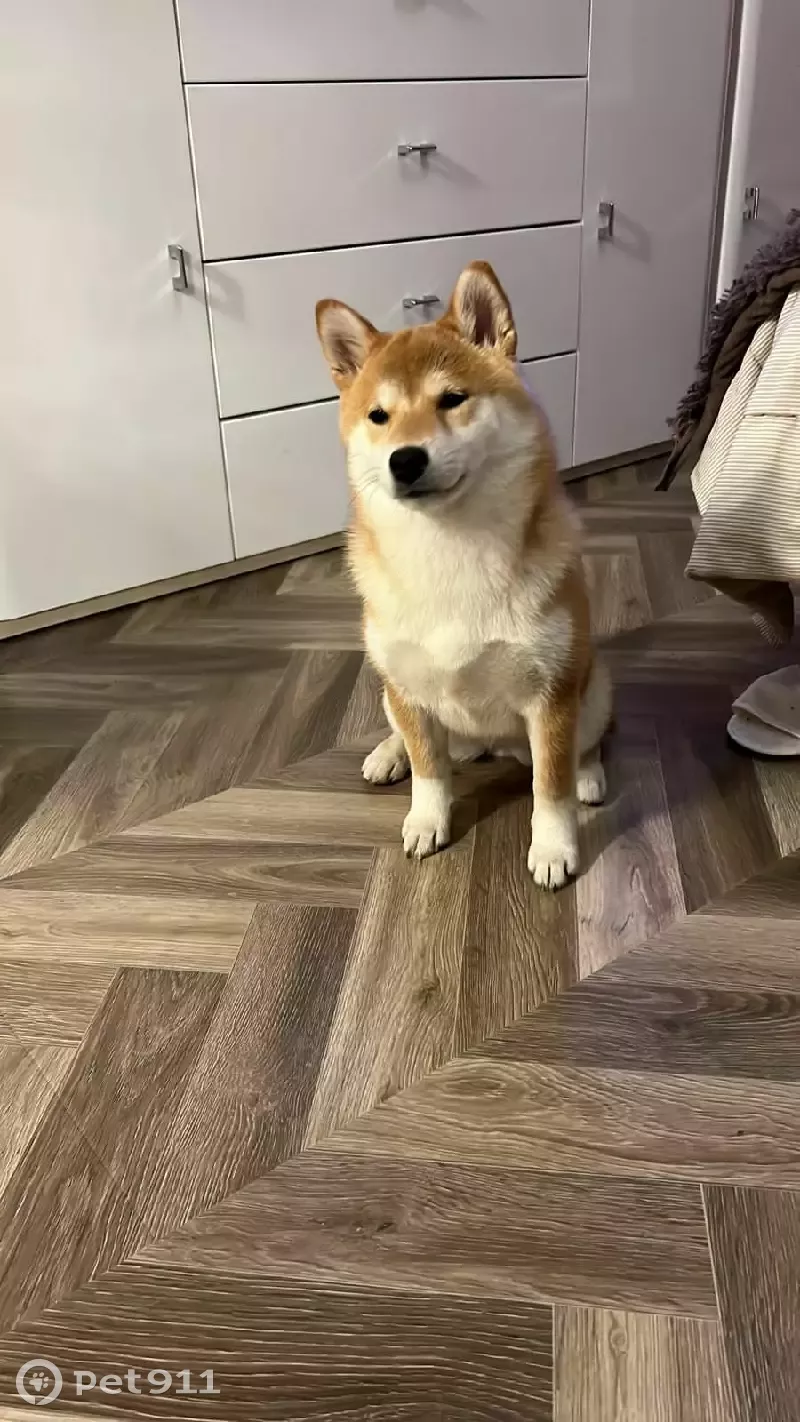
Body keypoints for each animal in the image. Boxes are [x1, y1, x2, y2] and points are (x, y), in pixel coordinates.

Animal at [316, 261, 611, 888]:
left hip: (593, 685)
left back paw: (589, 774)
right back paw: (388, 754)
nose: (405, 459)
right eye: (378, 416)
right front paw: (428, 820)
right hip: (390, 690)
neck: (448, 550)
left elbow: (549, 787)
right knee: (412, 736)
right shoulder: (407, 687)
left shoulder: (552, 697)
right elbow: (430, 771)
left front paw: (554, 847)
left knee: (588, 742)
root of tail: (487, 747)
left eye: (452, 399)